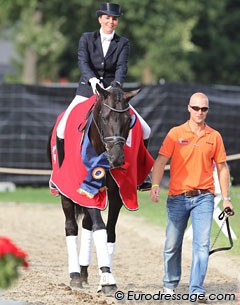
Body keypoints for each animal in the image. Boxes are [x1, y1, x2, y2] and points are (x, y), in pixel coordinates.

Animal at [49, 82, 151, 292]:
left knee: (87, 225)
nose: (117, 159)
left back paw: (84, 272)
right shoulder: (87, 191)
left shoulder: (117, 194)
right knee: (71, 227)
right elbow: (99, 227)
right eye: (104, 118)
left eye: (128, 120)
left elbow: (109, 231)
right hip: (66, 194)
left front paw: (107, 276)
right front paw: (107, 279)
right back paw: (75, 276)